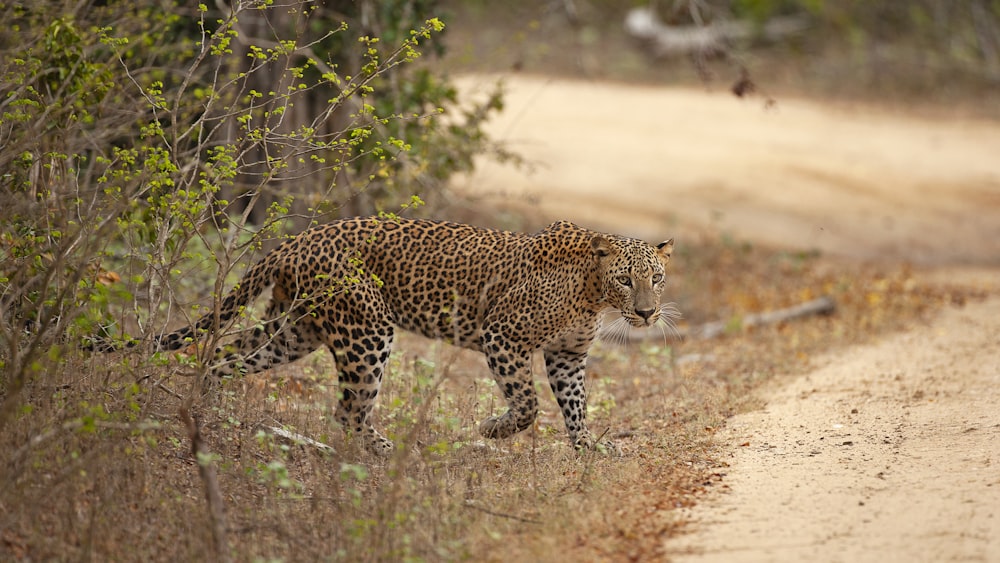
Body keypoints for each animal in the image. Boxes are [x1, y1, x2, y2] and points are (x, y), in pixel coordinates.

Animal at [152, 218, 676, 456]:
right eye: (626, 279)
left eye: (656, 278)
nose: (647, 313)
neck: (593, 293)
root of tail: (300, 239)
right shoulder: (502, 336)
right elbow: (528, 405)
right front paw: (493, 429)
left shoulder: (567, 354)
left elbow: (575, 403)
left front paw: (589, 446)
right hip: (366, 330)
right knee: (348, 410)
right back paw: (391, 452)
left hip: (295, 330)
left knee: (223, 357)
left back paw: (204, 412)